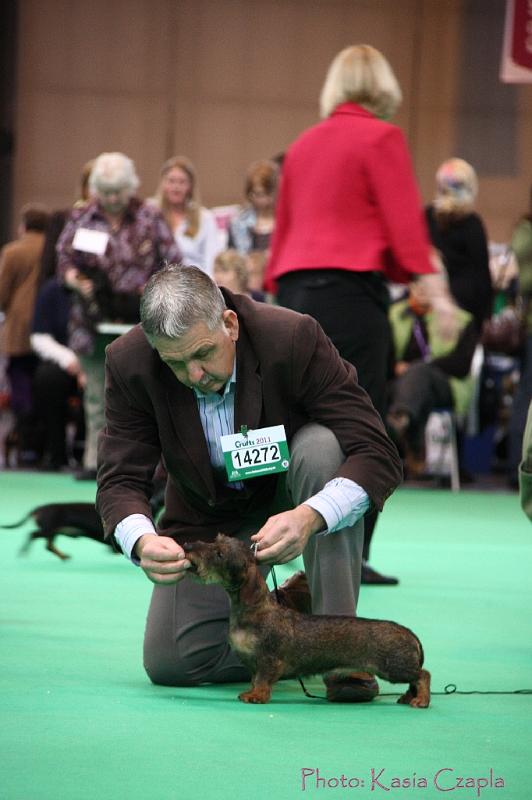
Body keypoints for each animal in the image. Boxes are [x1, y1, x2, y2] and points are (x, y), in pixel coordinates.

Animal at [183, 536, 432, 704]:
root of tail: (409, 633)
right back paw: (408, 698)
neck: (254, 612)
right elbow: (254, 679)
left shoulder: (269, 660)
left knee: (423, 675)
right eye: (214, 540)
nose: (187, 546)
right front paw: (252, 691)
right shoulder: (254, 663)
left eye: (220, 554)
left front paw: (256, 696)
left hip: (394, 668)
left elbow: (262, 680)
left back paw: (421, 700)